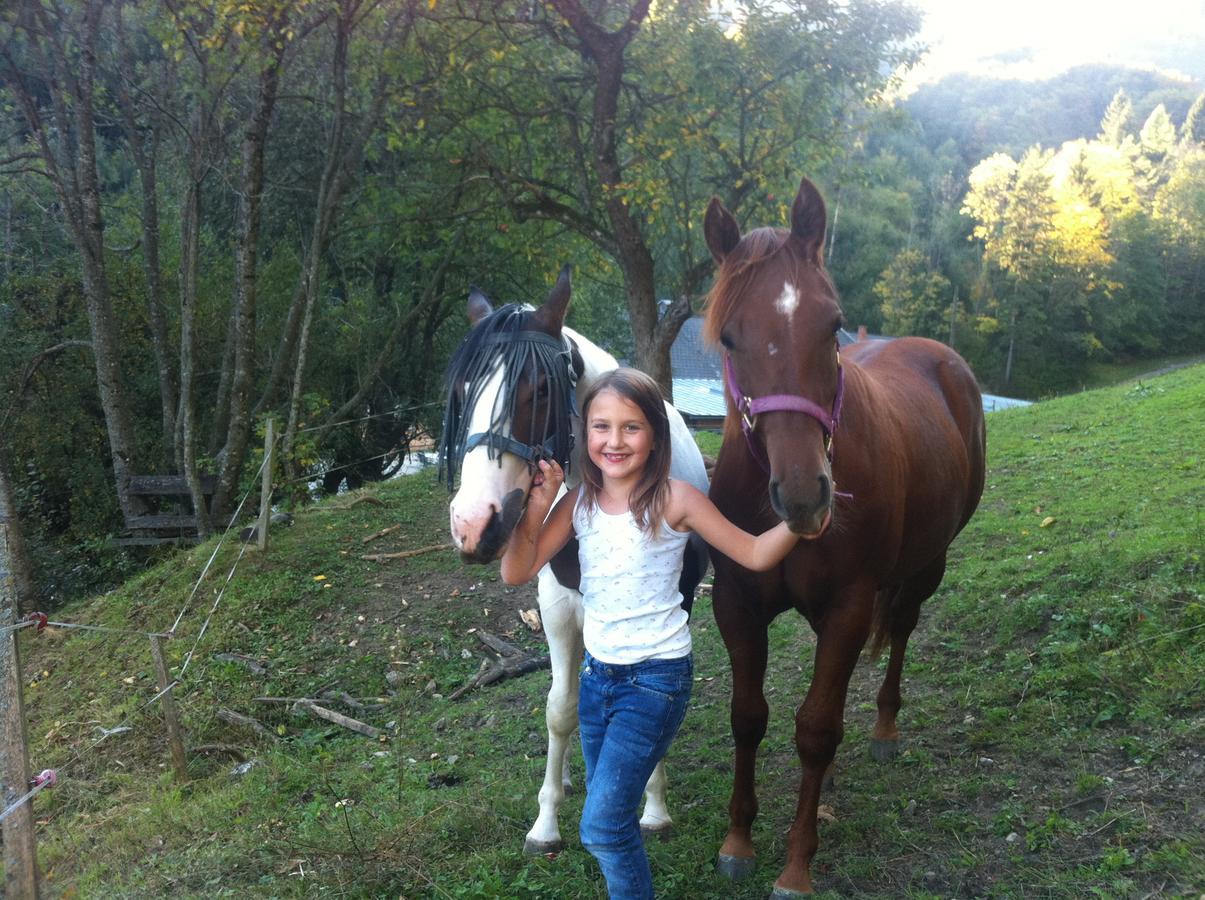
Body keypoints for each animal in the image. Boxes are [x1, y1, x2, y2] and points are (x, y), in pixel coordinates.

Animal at [443, 266, 708, 853]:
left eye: (539, 388)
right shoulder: (559, 605)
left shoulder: (675, 603)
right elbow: (560, 708)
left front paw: (653, 804)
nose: (474, 526)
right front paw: (546, 823)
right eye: (466, 390)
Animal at [703, 179, 983, 896]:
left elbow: (816, 727)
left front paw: (797, 864)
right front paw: (737, 840)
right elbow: (748, 716)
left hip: (924, 567)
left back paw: (884, 727)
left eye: (830, 325)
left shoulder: (851, 603)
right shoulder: (737, 605)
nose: (804, 497)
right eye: (729, 336)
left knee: (901, 631)